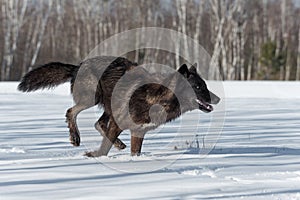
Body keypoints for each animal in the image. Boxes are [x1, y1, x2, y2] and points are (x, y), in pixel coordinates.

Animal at [18, 55, 220, 156]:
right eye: (198, 87)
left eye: (205, 85)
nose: (217, 99)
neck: (156, 99)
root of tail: (79, 65)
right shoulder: (118, 123)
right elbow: (104, 150)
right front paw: (94, 156)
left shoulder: (138, 132)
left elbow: (134, 153)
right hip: (92, 99)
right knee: (71, 112)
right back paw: (75, 137)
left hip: (106, 106)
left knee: (98, 123)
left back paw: (118, 144)